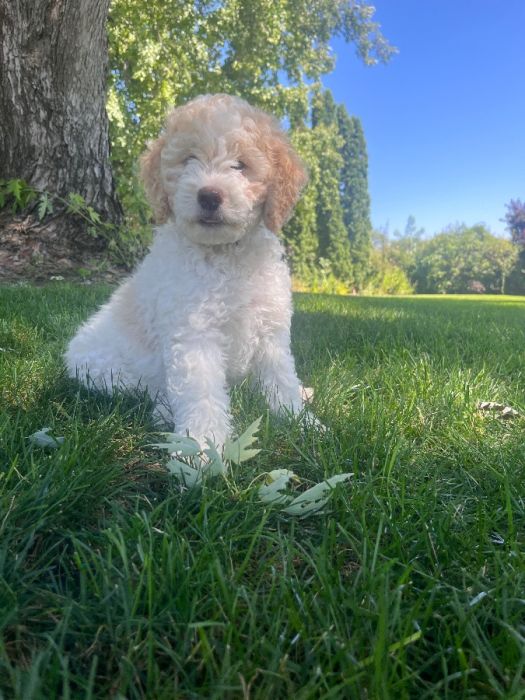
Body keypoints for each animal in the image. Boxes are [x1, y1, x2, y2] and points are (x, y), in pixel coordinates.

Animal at [67, 93, 310, 446]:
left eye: (240, 165)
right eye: (189, 159)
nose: (209, 196)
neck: (225, 254)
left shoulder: (270, 330)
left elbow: (282, 379)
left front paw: (302, 423)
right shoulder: (194, 333)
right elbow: (201, 393)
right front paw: (203, 447)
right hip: (107, 372)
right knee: (150, 390)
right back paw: (163, 413)